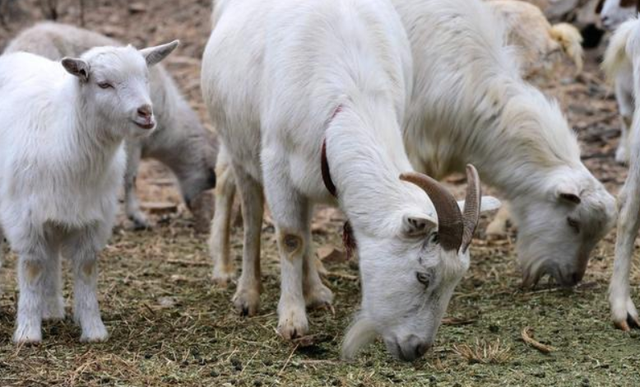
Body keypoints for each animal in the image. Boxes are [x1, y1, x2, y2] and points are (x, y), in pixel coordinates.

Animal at [0, 40, 178, 342]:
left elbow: (85, 269)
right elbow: (33, 268)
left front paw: (94, 330)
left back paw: (52, 310)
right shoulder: (26, 218)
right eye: (104, 84)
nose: (145, 112)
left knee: (53, 256)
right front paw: (27, 334)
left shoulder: (92, 217)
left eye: (146, 77)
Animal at [201, 0, 500, 360]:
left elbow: (302, 232)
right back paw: (244, 290)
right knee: (250, 211)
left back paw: (315, 291)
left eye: (456, 281)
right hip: (239, 146)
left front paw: (309, 296)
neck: (351, 98)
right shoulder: (276, 165)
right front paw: (291, 320)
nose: (416, 348)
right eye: (422, 276)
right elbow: (290, 238)